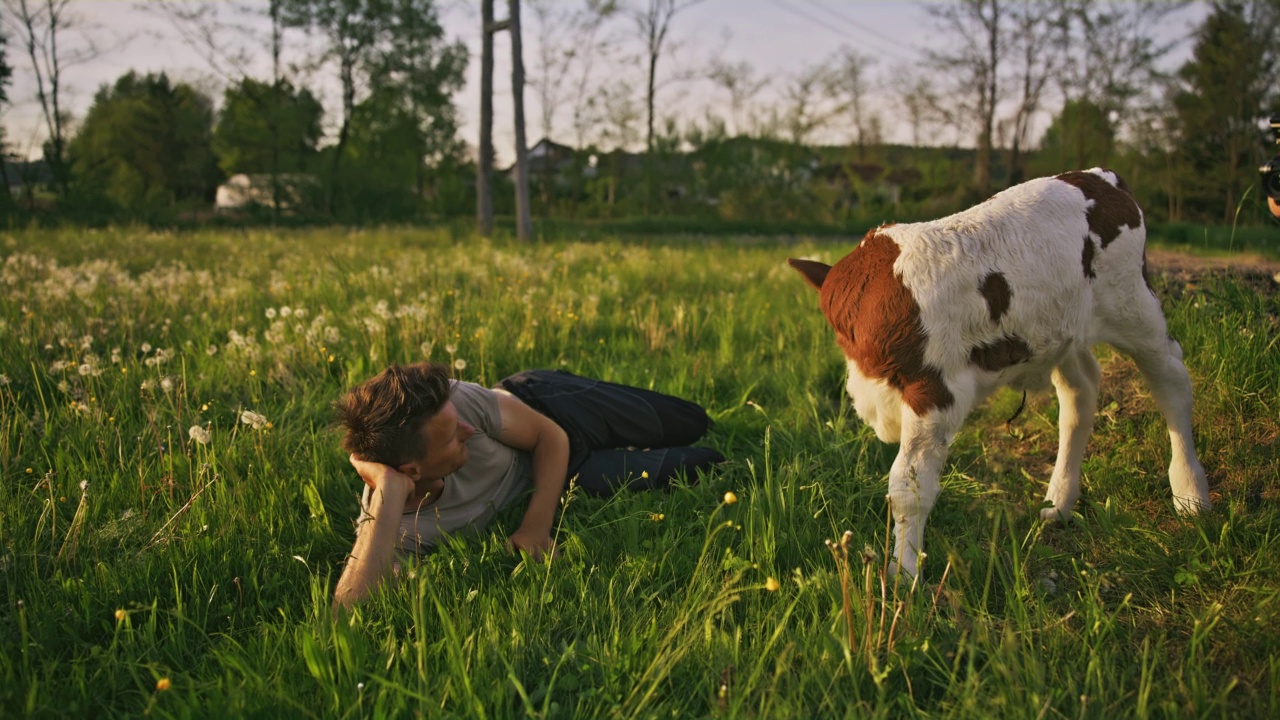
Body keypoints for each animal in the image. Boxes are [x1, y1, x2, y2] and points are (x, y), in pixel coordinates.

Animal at [788, 167, 1208, 576]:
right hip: (1060, 330)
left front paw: (902, 575)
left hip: (1132, 305)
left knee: (1171, 377)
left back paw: (1190, 494)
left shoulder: (934, 392)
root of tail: (1099, 176)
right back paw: (1060, 502)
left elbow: (908, 486)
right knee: (1081, 391)